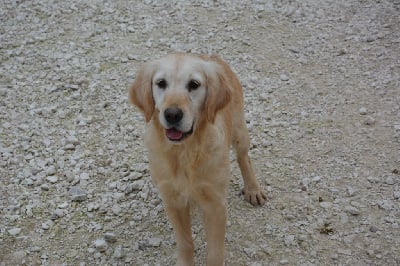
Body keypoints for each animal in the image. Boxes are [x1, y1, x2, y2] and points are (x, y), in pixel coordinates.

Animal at [129, 53, 266, 264]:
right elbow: (185, 244)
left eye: (194, 84)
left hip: (239, 131)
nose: (172, 114)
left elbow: (215, 253)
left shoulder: (215, 205)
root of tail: (211, 56)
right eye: (161, 83)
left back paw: (253, 189)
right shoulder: (173, 201)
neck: (185, 152)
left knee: (244, 158)